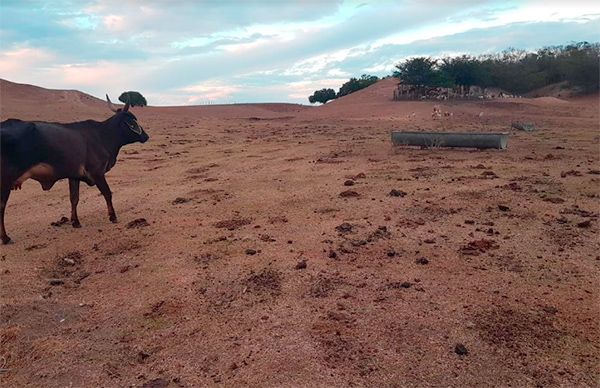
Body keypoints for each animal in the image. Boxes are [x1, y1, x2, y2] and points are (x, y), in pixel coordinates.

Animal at [0, 95, 149, 244]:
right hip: (5, 181)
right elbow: (107, 193)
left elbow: (74, 198)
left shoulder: (74, 176)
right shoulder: (97, 173)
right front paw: (113, 216)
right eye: (132, 121)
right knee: (1, 206)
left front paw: (75, 221)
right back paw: (5, 237)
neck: (102, 135)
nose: (146, 136)